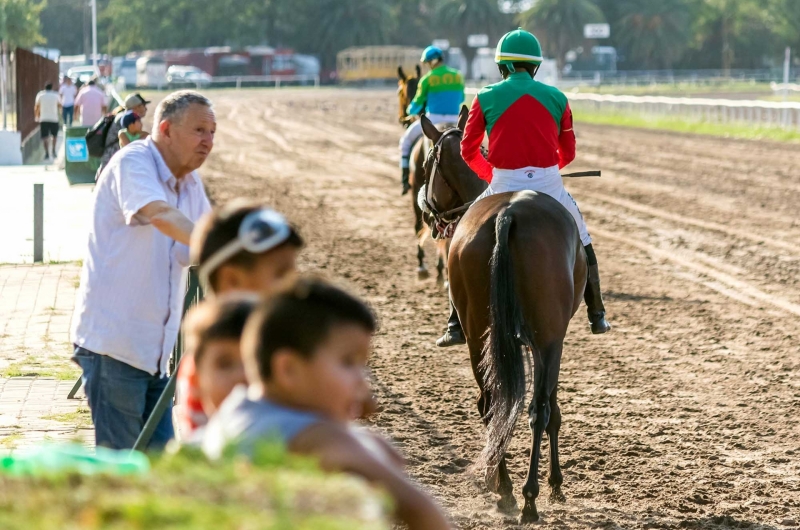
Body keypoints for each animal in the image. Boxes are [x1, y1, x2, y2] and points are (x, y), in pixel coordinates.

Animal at [418, 108, 588, 520]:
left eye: (427, 163)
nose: (429, 218)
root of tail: (507, 215)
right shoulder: (552, 341)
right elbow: (552, 408)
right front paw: (556, 486)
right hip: (547, 337)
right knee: (538, 409)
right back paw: (528, 497)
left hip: (478, 331)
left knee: (490, 403)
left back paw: (504, 489)